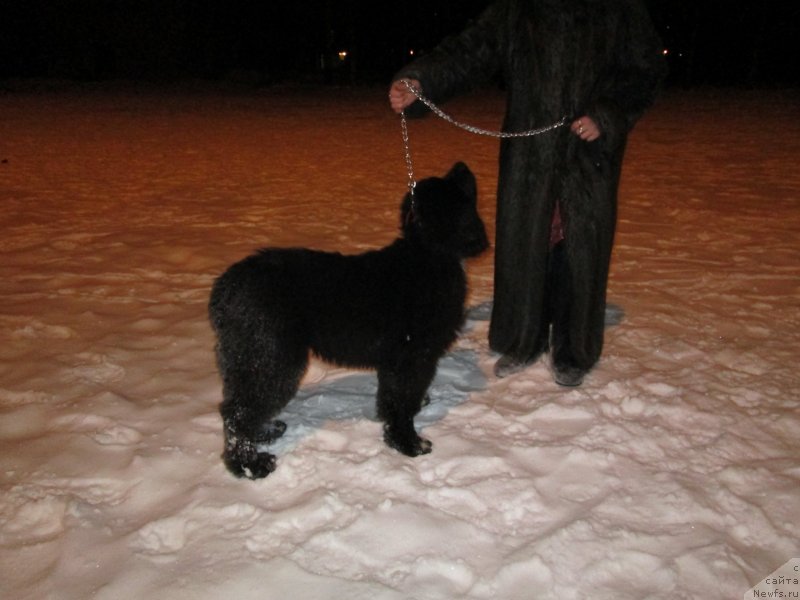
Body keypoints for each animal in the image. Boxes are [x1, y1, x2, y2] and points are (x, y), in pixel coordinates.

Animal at [208, 162, 488, 480]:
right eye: (456, 186)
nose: (461, 165)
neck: (428, 253)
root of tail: (225, 289)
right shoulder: (412, 356)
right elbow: (401, 402)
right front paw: (410, 444)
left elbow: (395, 398)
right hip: (271, 357)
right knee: (237, 414)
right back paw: (249, 465)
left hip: (247, 357)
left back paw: (264, 433)